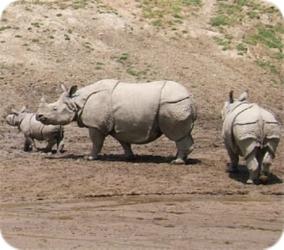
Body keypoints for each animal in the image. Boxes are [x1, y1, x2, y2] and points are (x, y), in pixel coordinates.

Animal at [36, 79, 196, 163]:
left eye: (55, 108)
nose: (38, 116)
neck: (76, 101)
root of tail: (190, 97)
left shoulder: (95, 125)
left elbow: (96, 142)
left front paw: (90, 157)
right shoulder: (119, 124)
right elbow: (123, 141)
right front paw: (128, 157)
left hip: (172, 104)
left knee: (177, 135)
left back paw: (177, 162)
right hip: (176, 103)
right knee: (183, 134)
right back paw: (180, 158)